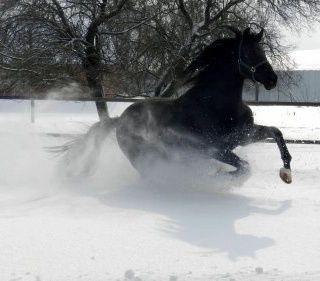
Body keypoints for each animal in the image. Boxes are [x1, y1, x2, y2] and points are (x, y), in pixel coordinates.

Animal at [62, 27, 292, 183]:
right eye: (247, 53)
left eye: (262, 51)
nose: (272, 79)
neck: (217, 105)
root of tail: (119, 121)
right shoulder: (214, 149)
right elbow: (243, 168)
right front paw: (215, 178)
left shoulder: (243, 135)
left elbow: (276, 132)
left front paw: (286, 172)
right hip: (142, 156)